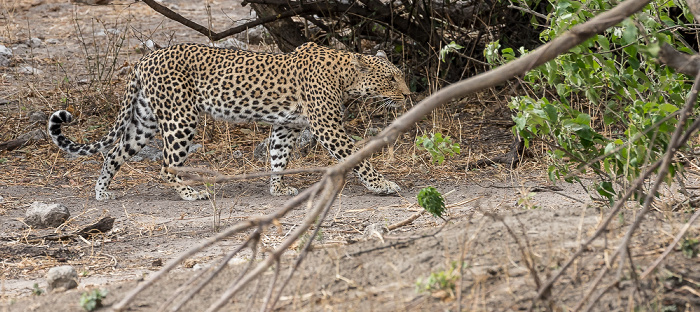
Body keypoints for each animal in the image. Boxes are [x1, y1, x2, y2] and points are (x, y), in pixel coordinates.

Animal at [47, 42, 410, 200]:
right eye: (391, 79)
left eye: (399, 75)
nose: (408, 95)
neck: (346, 76)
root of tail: (144, 59)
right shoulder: (328, 126)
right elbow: (358, 157)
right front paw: (382, 185)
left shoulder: (286, 125)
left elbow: (278, 157)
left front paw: (278, 189)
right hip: (180, 117)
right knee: (166, 165)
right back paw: (191, 193)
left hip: (146, 119)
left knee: (114, 152)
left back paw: (101, 192)